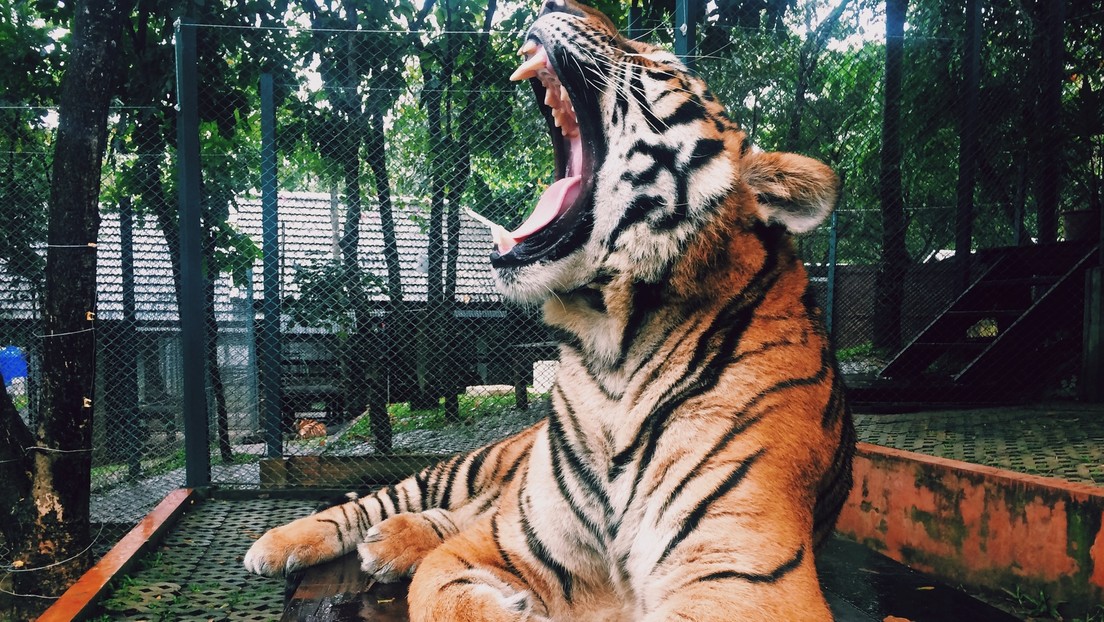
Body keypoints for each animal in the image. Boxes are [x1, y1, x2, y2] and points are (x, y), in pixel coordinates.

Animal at [244, 1, 854, 620]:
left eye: (661, 62)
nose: (563, 5)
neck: (612, 350)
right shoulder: (512, 536)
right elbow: (443, 590)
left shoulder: (742, 574)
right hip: (472, 465)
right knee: (381, 500)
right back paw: (279, 544)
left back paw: (392, 542)